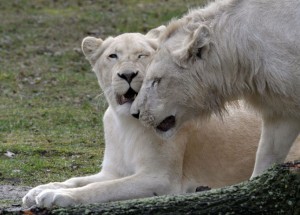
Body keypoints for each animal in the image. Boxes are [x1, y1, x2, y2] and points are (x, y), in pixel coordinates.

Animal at [22, 25, 300, 208]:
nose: (128, 74)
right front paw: (40, 190)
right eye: (113, 56)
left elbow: (100, 188)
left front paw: (58, 197)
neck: (125, 124)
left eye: (142, 55)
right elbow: (77, 179)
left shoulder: (160, 178)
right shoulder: (113, 170)